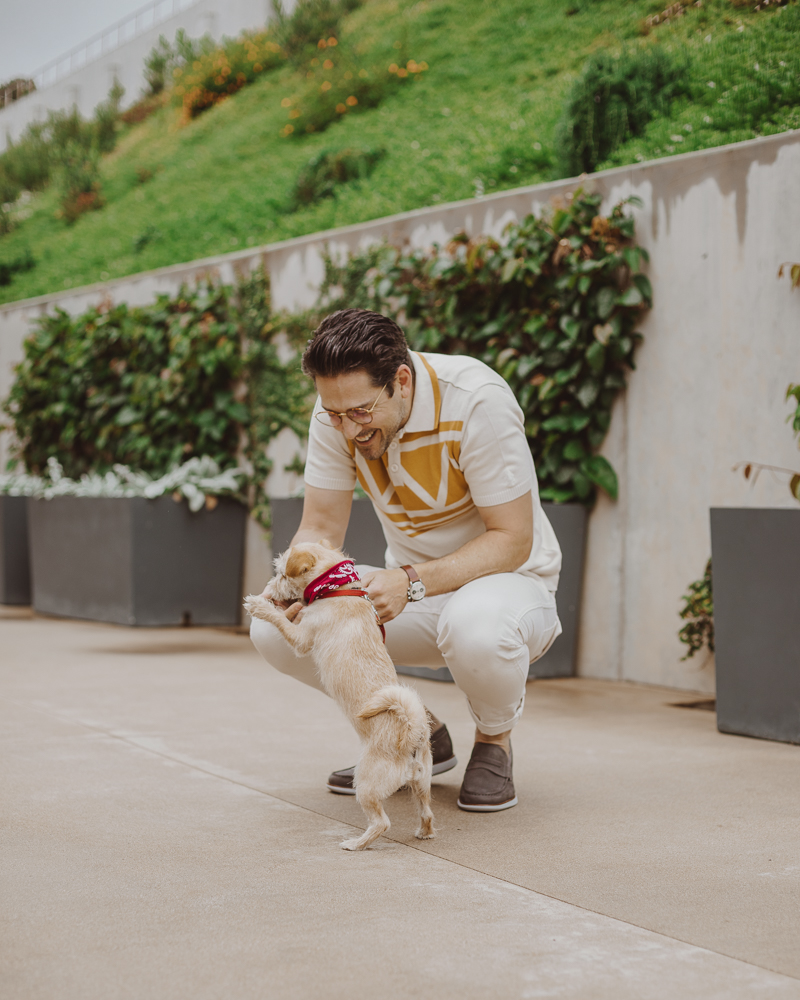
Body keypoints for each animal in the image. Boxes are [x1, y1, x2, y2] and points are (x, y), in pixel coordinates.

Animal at [244, 540, 434, 852]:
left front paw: (261, 607)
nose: (270, 590)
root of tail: (411, 733)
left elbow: (281, 620)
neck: (337, 587)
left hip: (366, 784)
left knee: (381, 823)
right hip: (421, 783)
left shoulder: (300, 639)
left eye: (282, 574)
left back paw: (356, 844)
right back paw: (424, 832)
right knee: (427, 813)